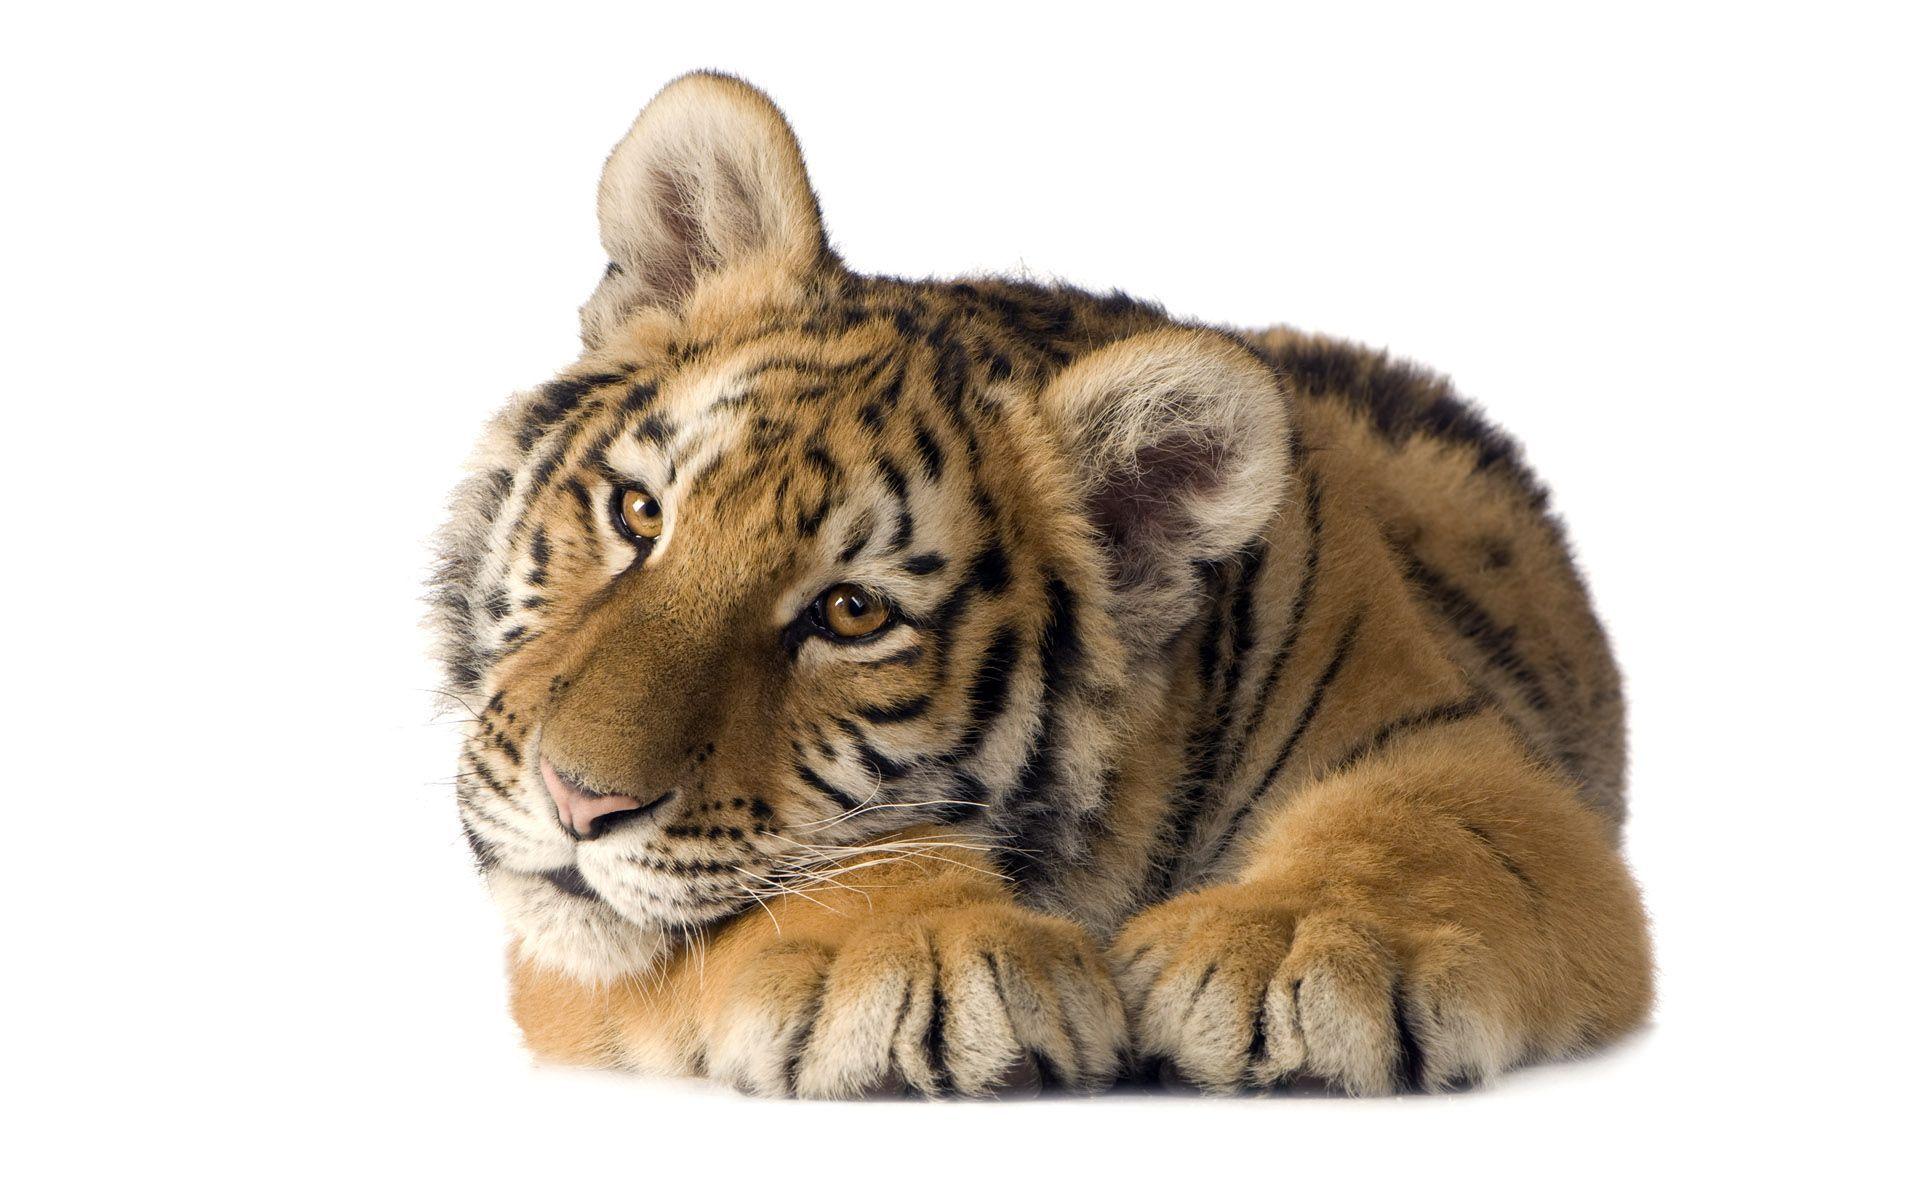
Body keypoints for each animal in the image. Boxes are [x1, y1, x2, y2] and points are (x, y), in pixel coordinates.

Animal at [432, 71, 1653, 1098]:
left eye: (853, 612)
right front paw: (931, 951)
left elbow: (1426, 831)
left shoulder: (1468, 752)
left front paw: (1292, 947)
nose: (577, 802)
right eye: (639, 513)